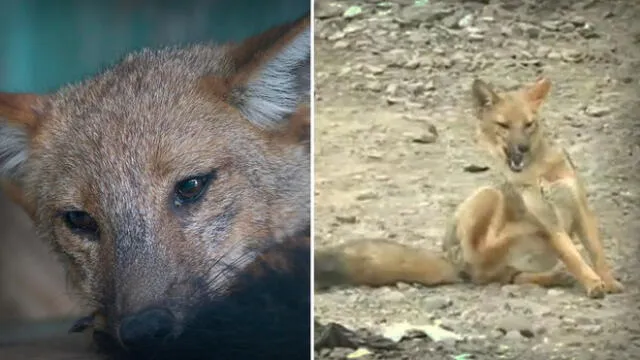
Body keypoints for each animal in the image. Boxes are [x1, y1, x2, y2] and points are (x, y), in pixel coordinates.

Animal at [316, 77, 624, 300]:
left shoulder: (581, 209)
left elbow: (596, 254)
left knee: (509, 277)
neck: (538, 173)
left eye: (529, 124)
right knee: (483, 272)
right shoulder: (548, 224)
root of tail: (451, 260)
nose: (521, 149)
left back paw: (553, 276)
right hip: (487, 195)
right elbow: (574, 257)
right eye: (503, 126)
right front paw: (592, 283)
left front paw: (607, 281)